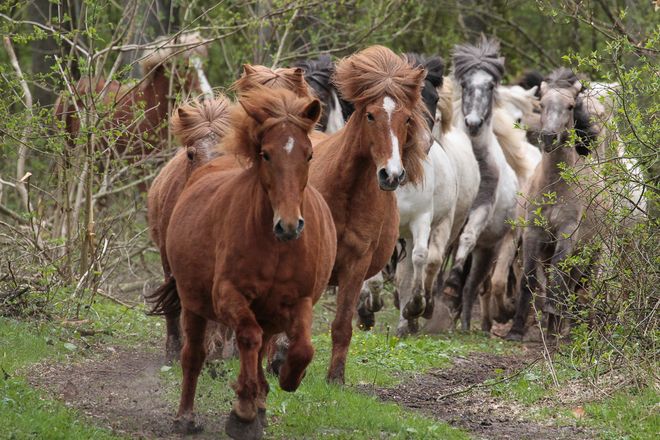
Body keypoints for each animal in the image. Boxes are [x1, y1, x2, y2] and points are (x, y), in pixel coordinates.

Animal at [153, 87, 336, 438]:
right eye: (265, 154)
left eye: (309, 155)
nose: (289, 226)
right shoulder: (226, 294)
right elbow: (245, 337)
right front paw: (243, 411)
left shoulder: (299, 300)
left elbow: (301, 348)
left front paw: (283, 379)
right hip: (191, 294)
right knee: (192, 352)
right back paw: (187, 414)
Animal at [508, 69, 604, 342]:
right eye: (541, 105)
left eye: (570, 106)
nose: (549, 137)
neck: (554, 186)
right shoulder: (533, 232)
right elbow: (528, 280)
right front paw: (515, 330)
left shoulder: (566, 233)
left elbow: (559, 281)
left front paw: (553, 318)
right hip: (547, 251)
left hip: (587, 253)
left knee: (571, 286)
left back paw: (560, 328)